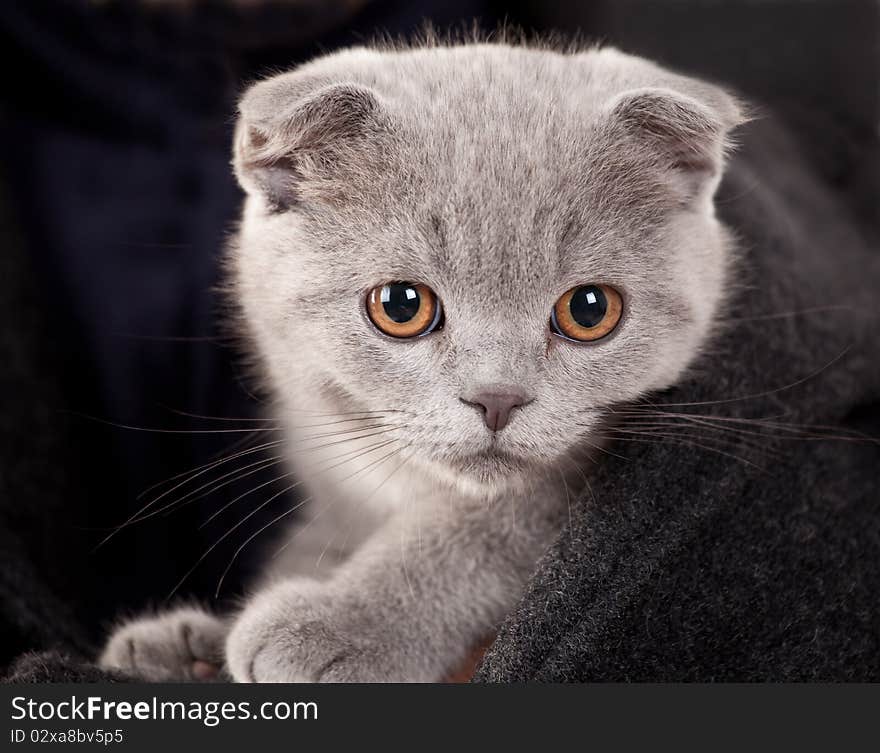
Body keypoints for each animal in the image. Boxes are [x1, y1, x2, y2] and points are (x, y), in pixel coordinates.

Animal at [98, 41, 744, 680]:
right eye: (401, 305)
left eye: (590, 310)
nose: (497, 397)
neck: (395, 483)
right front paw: (184, 649)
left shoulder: (562, 486)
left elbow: (488, 530)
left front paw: (338, 625)